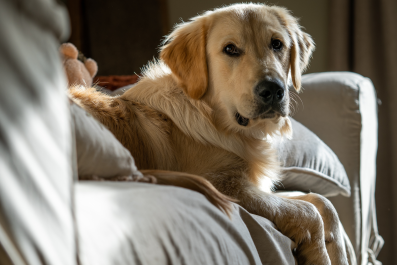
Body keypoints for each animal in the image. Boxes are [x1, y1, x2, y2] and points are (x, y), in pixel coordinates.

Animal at [69, 3, 348, 262]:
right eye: (230, 49)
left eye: (277, 44)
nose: (273, 90)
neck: (217, 121)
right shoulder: (228, 186)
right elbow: (309, 212)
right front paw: (319, 253)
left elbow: (323, 203)